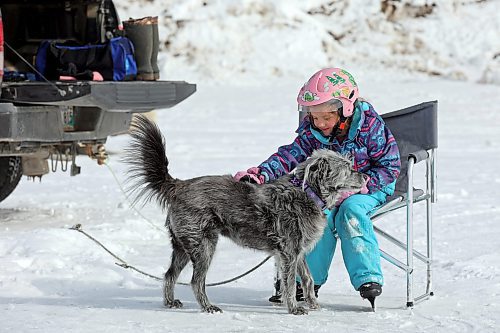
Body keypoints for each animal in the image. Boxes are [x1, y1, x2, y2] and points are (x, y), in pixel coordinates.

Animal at [125, 115, 368, 314]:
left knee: (169, 275)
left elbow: (307, 279)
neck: (307, 192)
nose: (365, 177)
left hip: (183, 247)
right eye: (347, 167)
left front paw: (313, 304)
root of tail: (180, 185)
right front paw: (294, 308)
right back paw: (208, 307)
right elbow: (290, 283)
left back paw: (170, 302)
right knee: (196, 281)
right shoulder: (288, 253)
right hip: (204, 245)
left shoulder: (298, 252)